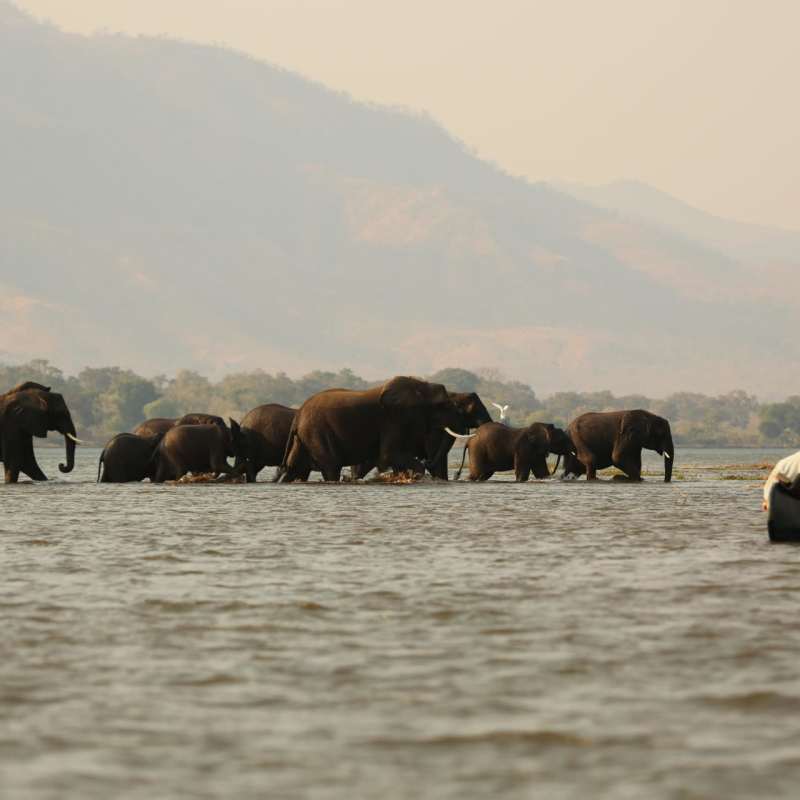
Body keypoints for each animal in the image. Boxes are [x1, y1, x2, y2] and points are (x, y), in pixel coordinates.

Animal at [278, 376, 462, 482]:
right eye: (443, 405)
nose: (426, 460)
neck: (420, 385)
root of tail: (298, 415)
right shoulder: (392, 420)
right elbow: (389, 455)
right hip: (316, 433)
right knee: (331, 466)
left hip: (304, 437)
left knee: (294, 468)